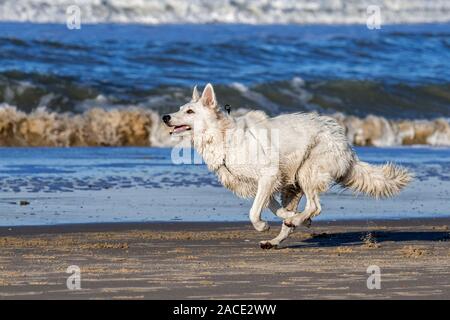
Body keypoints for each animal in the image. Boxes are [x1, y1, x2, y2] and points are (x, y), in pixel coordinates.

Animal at [163, 84, 414, 249]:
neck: (224, 137)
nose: (165, 117)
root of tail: (346, 145)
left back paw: (294, 221)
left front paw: (264, 225)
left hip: (307, 172)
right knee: (301, 213)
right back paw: (277, 237)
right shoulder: (262, 183)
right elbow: (272, 207)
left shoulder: (268, 175)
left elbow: (254, 211)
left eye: (190, 112)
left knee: (315, 206)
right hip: (293, 185)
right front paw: (285, 217)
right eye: (180, 108)